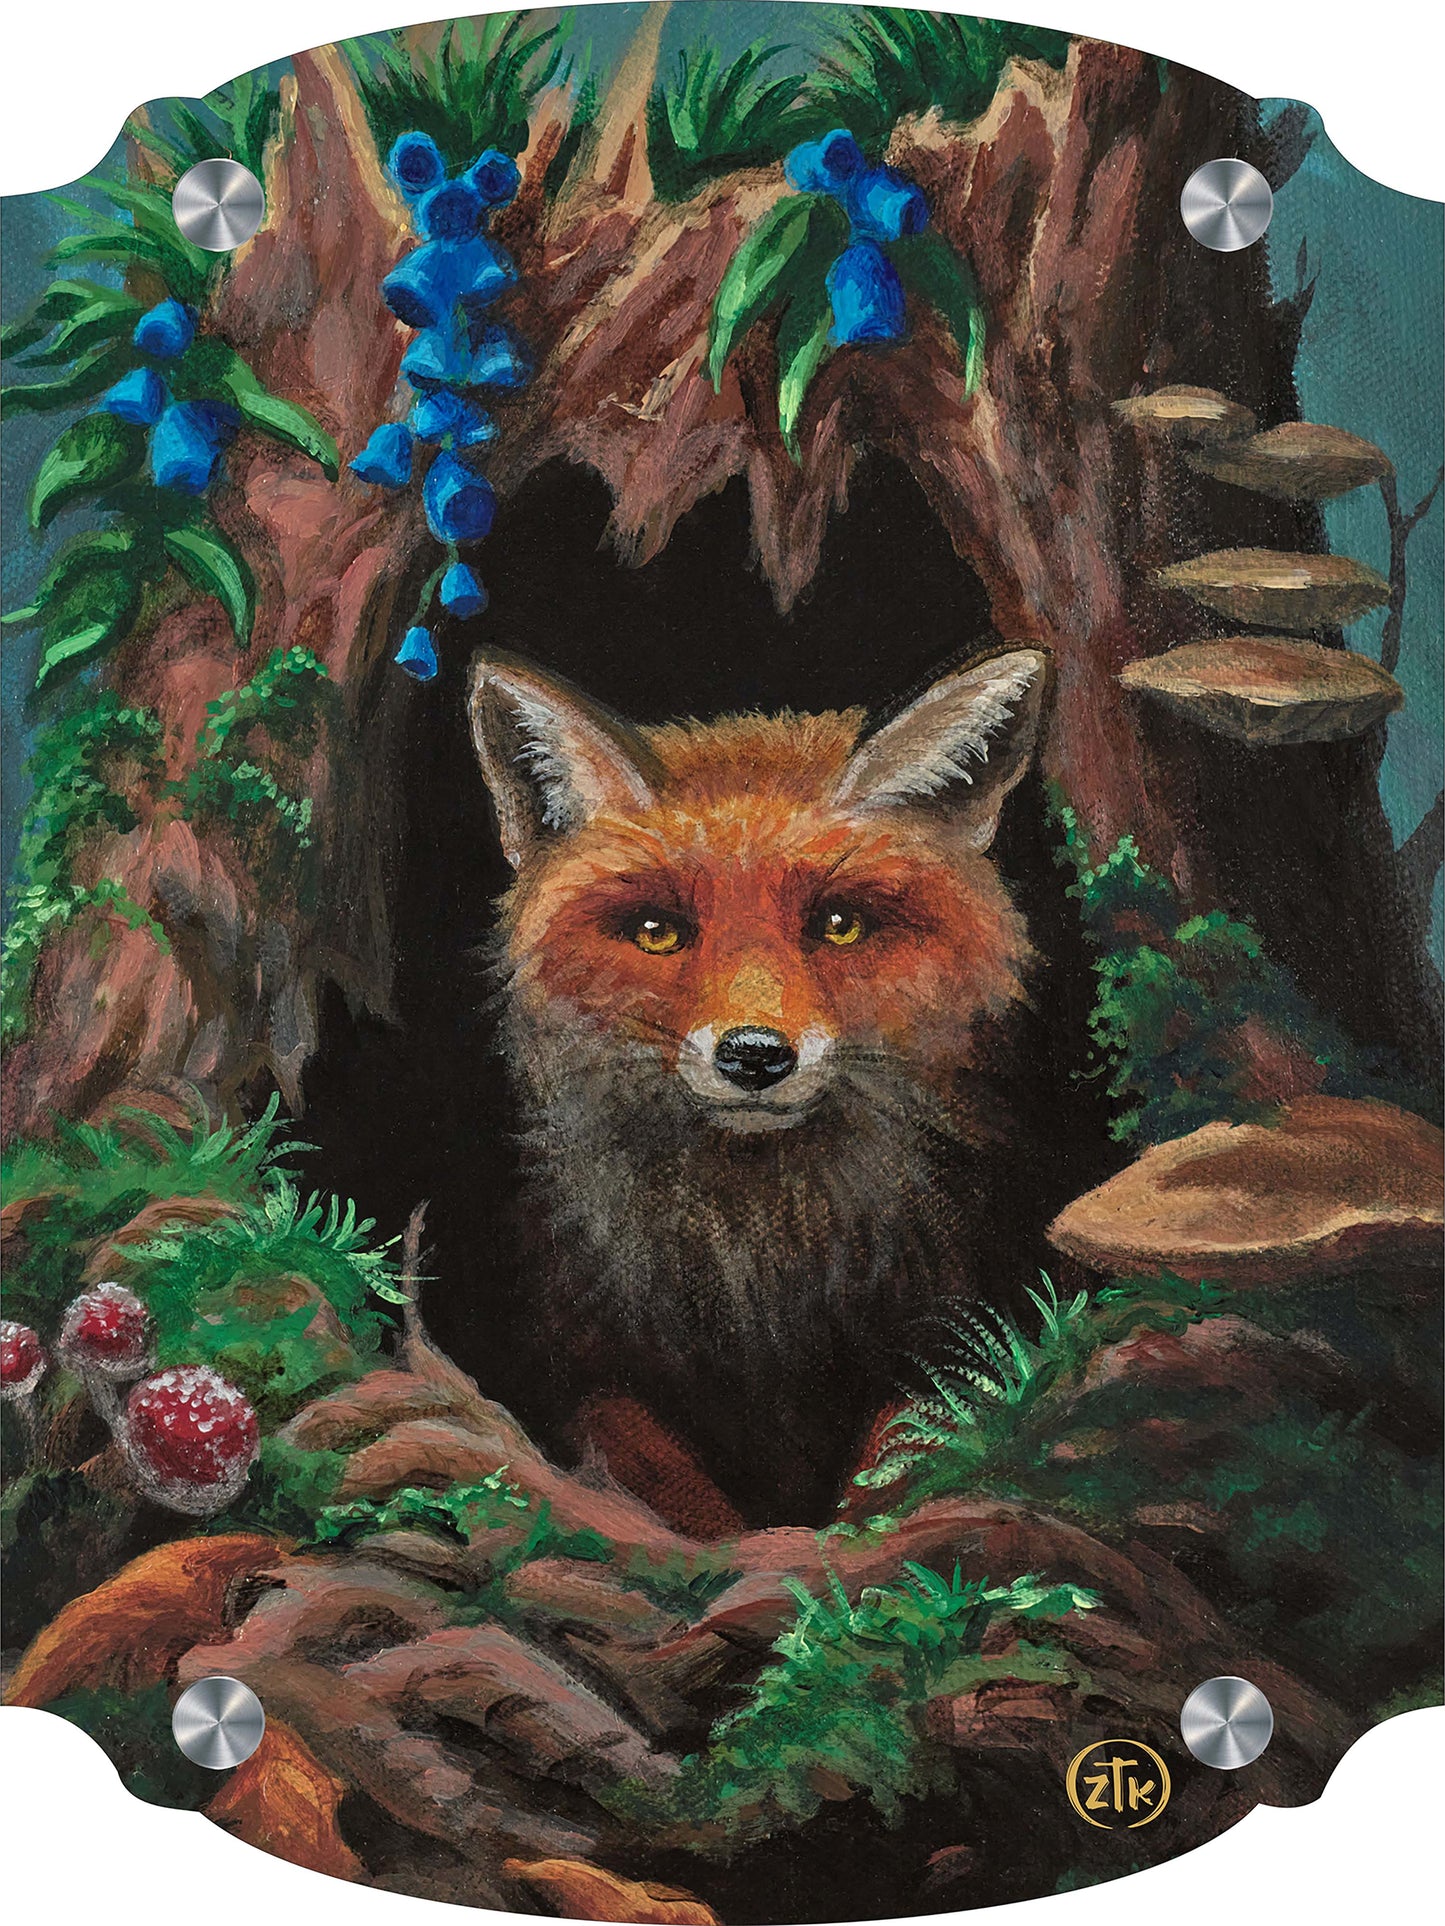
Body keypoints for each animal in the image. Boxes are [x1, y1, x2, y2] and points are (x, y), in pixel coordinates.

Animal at [468, 645, 1049, 1524]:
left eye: (838, 925)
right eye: (657, 932)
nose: (753, 1056)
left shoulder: (940, 1341)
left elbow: (890, 1473)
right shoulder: (589, 1374)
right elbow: (672, 1492)